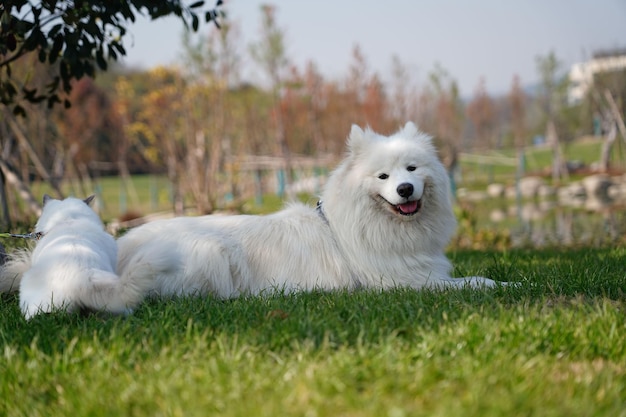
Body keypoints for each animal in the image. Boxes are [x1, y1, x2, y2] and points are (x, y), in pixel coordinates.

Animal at [117, 122, 498, 298]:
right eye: (383, 176)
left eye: (412, 169)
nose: (405, 189)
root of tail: (120, 251)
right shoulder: (405, 282)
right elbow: (475, 281)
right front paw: (501, 284)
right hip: (212, 251)